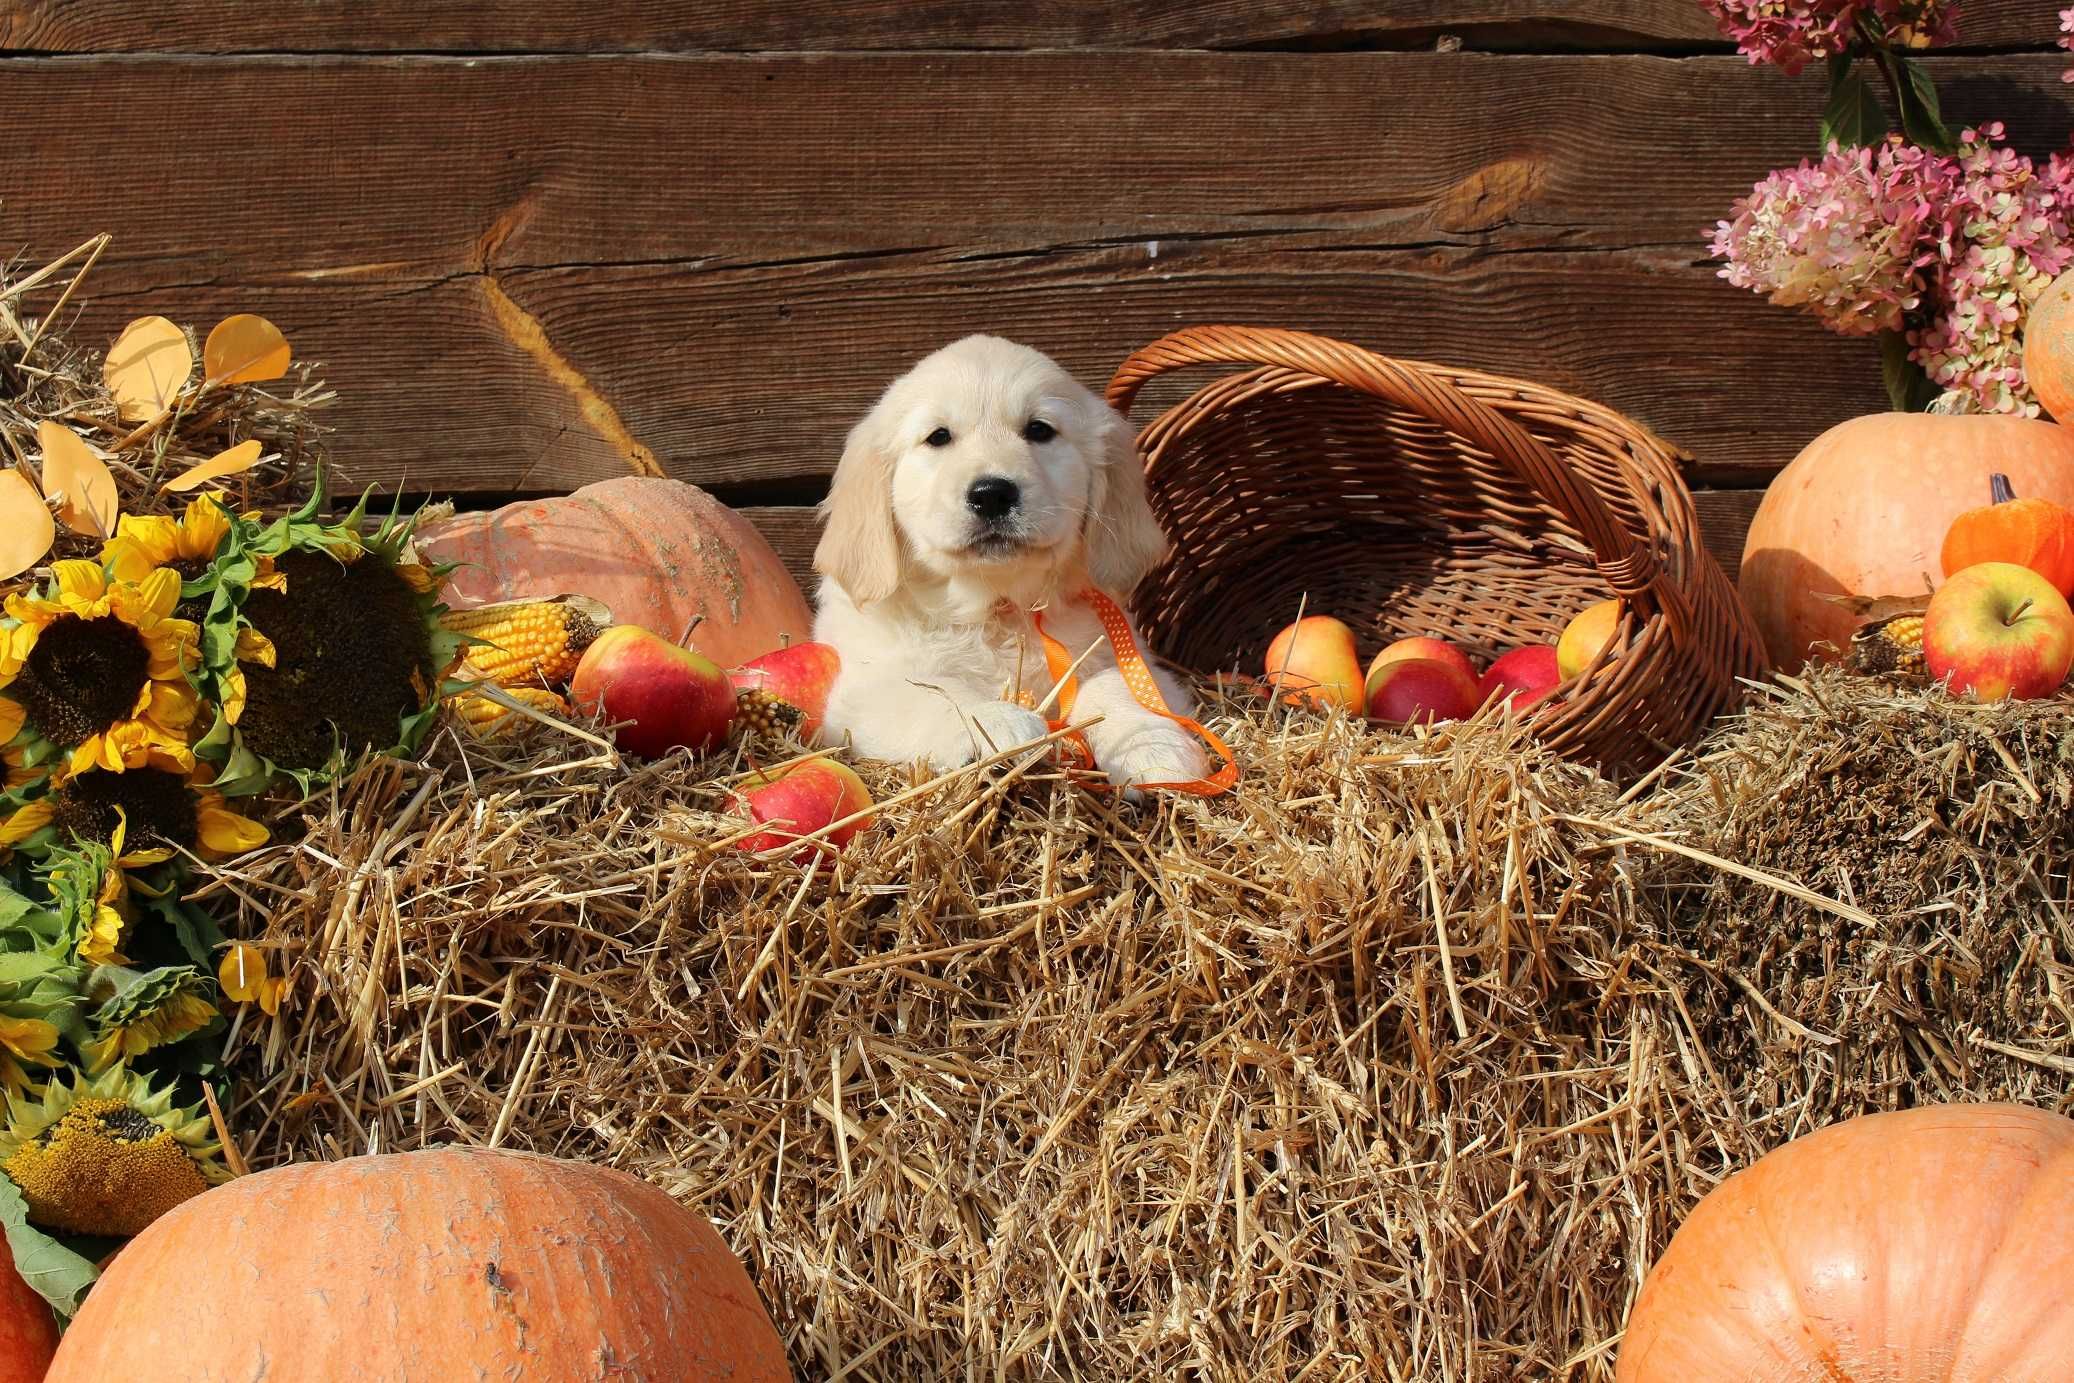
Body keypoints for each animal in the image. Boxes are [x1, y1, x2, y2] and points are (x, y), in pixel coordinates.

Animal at [804, 331, 1211, 787]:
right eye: (938, 437)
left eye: (1039, 430)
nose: (992, 494)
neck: (997, 609)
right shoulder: (864, 690)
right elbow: (936, 693)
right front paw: (999, 724)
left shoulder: (1131, 655)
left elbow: (1114, 684)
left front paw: (1152, 744)